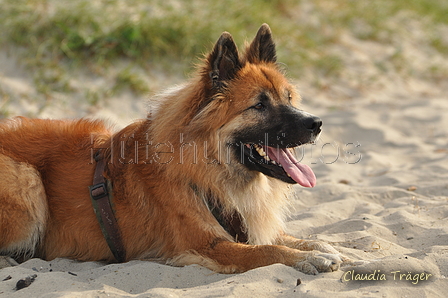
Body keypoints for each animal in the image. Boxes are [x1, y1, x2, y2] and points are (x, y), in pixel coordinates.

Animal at [0, 23, 344, 274]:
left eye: (288, 98)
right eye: (259, 105)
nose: (316, 123)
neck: (204, 165)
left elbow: (293, 237)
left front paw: (327, 248)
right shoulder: (208, 245)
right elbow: (267, 250)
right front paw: (306, 258)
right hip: (27, 182)